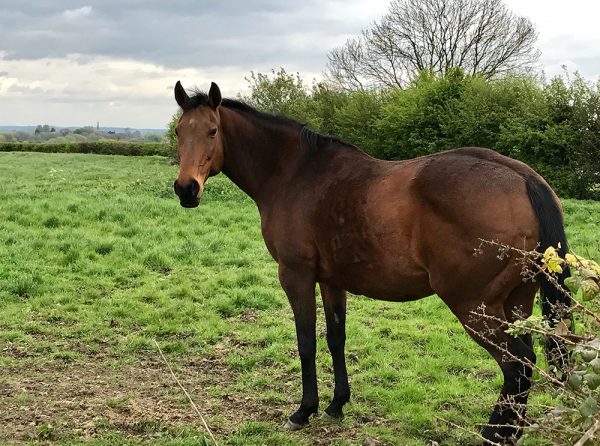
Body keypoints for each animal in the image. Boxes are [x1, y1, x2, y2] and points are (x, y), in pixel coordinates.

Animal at [171, 82, 568, 444]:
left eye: (212, 130)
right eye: (178, 131)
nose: (186, 189)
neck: (294, 174)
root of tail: (524, 178)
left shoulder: (296, 275)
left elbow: (305, 341)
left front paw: (304, 410)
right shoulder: (331, 280)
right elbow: (335, 338)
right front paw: (336, 404)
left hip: (475, 307)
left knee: (517, 365)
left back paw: (494, 434)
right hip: (516, 302)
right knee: (525, 365)